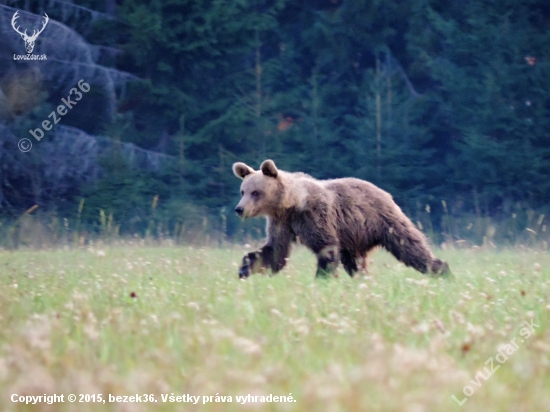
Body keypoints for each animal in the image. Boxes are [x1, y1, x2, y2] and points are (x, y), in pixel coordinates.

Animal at [234, 159, 452, 278]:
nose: (239, 209)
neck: (291, 204)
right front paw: (245, 268)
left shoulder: (314, 216)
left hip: (382, 221)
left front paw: (322, 277)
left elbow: (326, 248)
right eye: (243, 191)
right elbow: (275, 251)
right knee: (355, 263)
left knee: (410, 247)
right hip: (353, 237)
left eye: (256, 192)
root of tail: (384, 192)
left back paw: (442, 270)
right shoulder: (282, 223)